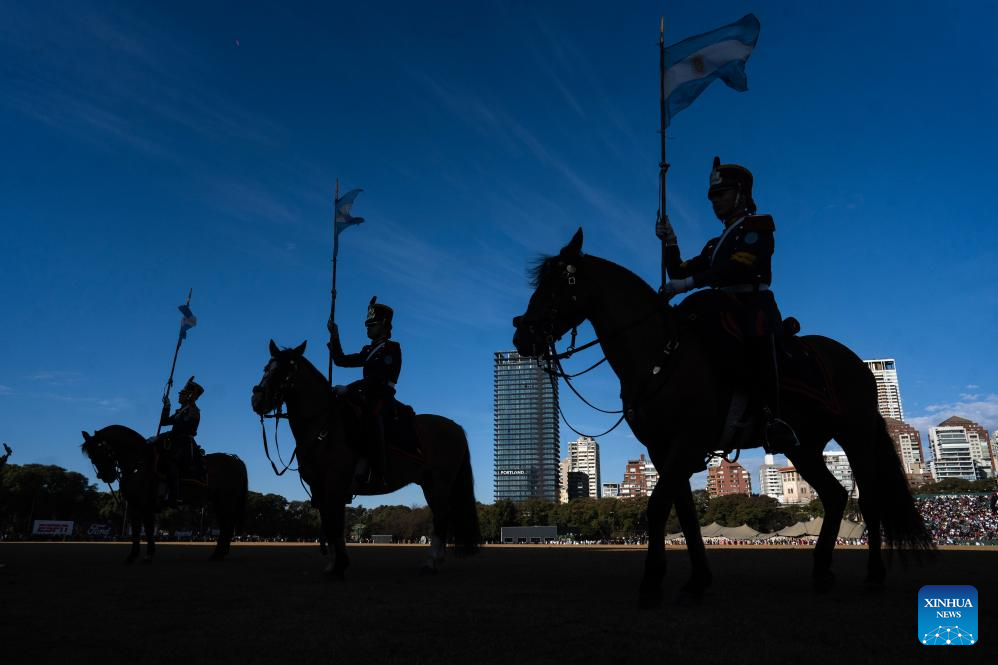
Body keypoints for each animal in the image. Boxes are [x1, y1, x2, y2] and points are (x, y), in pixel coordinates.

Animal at [81, 425, 248, 563]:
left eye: (101, 450)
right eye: (91, 456)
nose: (106, 476)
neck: (139, 464)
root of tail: (235, 460)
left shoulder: (144, 504)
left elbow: (145, 529)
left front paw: (145, 555)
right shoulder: (137, 505)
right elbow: (139, 529)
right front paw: (136, 555)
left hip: (226, 500)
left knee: (227, 524)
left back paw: (218, 554)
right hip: (219, 501)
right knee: (225, 524)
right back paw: (219, 553)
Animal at [251, 340, 480, 578]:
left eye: (288, 370)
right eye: (266, 368)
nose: (257, 400)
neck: (324, 425)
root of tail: (455, 426)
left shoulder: (334, 484)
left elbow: (334, 525)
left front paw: (339, 566)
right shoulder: (319, 488)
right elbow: (330, 524)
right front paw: (334, 564)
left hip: (441, 482)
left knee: (442, 517)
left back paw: (432, 562)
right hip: (429, 484)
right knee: (440, 516)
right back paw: (433, 561)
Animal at [512, 229, 932, 608]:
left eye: (555, 283)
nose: (521, 336)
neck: (661, 355)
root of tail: (858, 364)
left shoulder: (687, 440)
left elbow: (657, 506)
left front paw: (652, 582)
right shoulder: (663, 449)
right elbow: (683, 513)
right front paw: (696, 580)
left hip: (856, 436)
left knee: (870, 502)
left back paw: (873, 575)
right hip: (803, 447)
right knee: (835, 495)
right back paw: (821, 570)